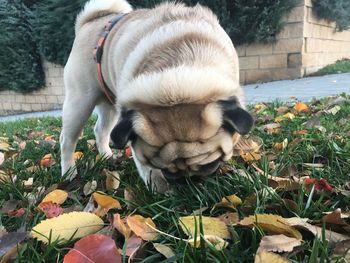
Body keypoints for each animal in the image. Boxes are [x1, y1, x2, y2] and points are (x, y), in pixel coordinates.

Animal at [58, 0, 253, 194]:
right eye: (160, 167)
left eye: (210, 164)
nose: (186, 181)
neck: (175, 85)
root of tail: (87, 23)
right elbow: (150, 174)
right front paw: (163, 193)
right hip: (80, 102)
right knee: (67, 140)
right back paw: (69, 173)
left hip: (110, 107)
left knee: (101, 130)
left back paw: (107, 157)